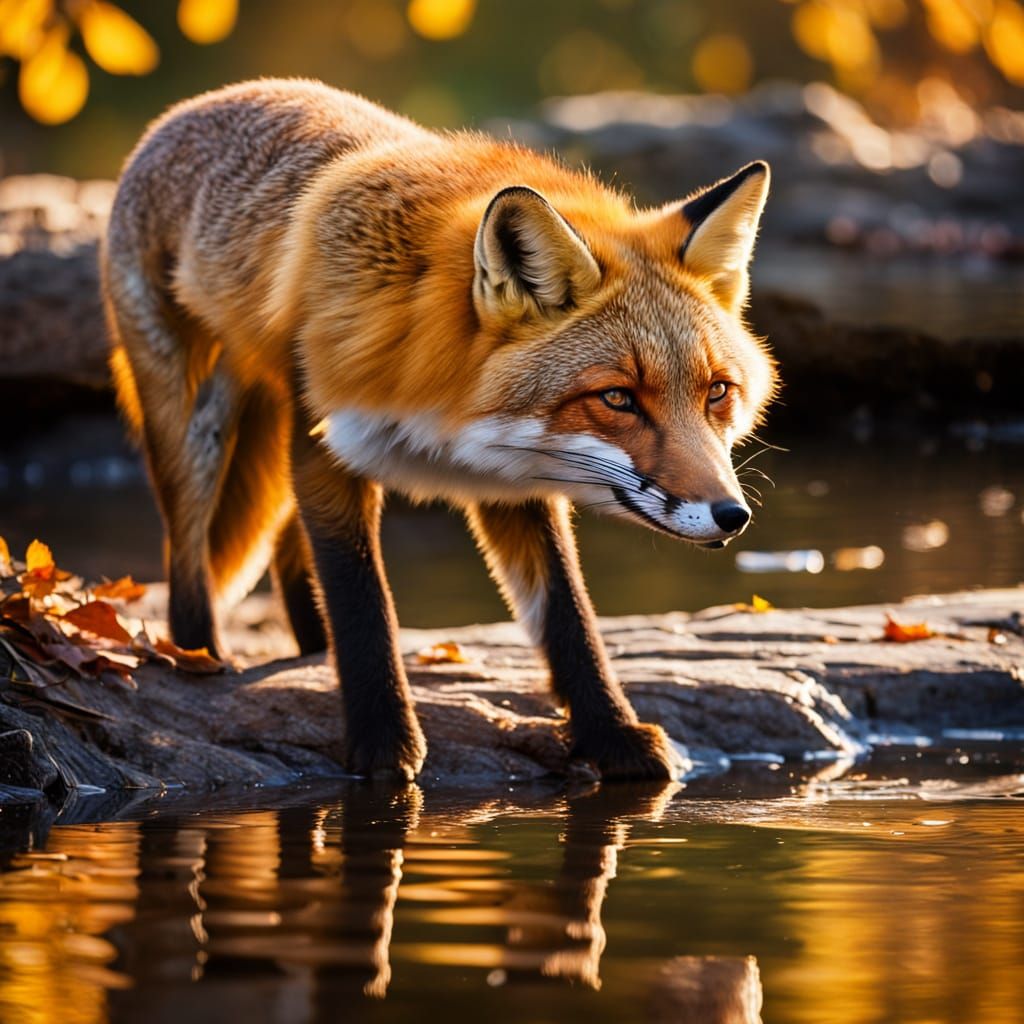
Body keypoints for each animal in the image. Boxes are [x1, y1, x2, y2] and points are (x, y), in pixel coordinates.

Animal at [102, 79, 777, 783]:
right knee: (188, 558)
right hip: (193, 432)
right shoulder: (327, 451)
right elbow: (363, 603)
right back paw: (200, 660)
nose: (731, 515)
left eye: (717, 392)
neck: (444, 405)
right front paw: (383, 748)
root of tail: (201, 102)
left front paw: (612, 735)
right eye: (617, 398)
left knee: (289, 555)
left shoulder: (514, 480)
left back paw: (309, 652)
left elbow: (568, 616)